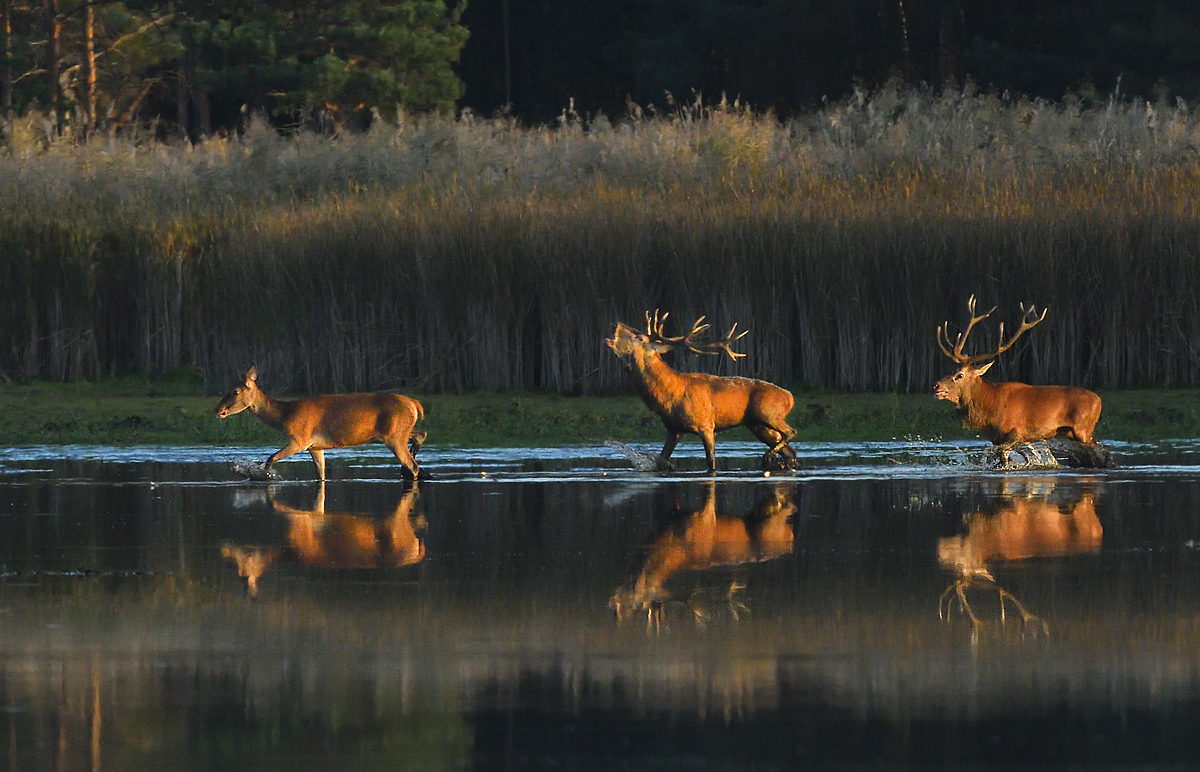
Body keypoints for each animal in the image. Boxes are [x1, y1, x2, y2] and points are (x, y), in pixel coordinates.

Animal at [609, 312, 796, 473]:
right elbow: (662, 460)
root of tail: (790, 397)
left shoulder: (706, 424)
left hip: (768, 413)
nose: (616, 323)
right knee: (790, 451)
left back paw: (767, 458)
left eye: (638, 336)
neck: (668, 396)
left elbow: (711, 463)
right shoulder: (674, 428)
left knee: (791, 432)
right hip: (758, 425)